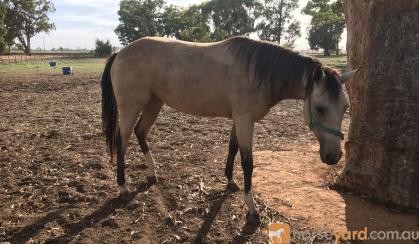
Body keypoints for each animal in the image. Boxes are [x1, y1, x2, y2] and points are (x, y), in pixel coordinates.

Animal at [99, 35, 358, 224]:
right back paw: (123, 187)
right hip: (131, 107)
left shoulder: (239, 119)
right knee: (122, 142)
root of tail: (120, 53)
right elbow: (248, 162)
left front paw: (230, 181)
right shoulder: (245, 120)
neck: (259, 70)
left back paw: (152, 174)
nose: (334, 156)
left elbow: (233, 148)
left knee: (140, 133)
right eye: (320, 108)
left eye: (345, 107)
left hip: (154, 103)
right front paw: (252, 210)